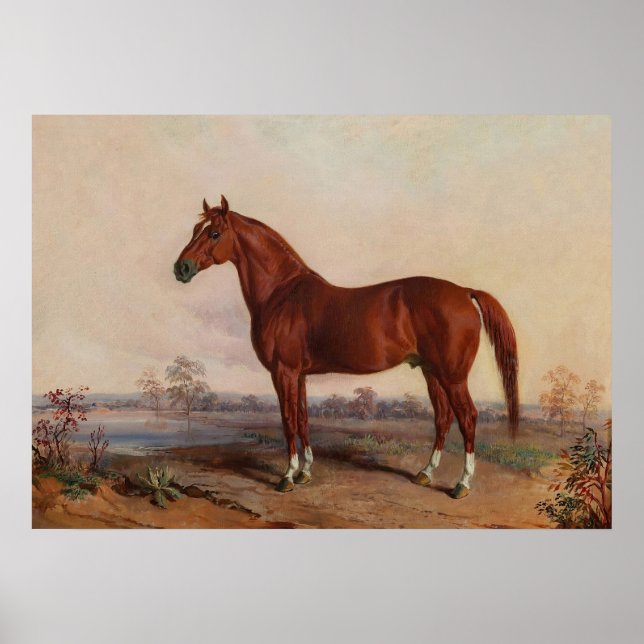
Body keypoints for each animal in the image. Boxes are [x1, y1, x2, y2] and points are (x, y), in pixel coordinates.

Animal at [174, 195, 519, 499]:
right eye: (194, 230)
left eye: (214, 233)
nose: (181, 268)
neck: (282, 294)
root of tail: (464, 291)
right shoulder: (300, 375)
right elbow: (303, 420)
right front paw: (305, 472)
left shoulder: (284, 372)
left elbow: (287, 421)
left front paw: (287, 477)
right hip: (432, 372)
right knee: (443, 418)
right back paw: (425, 473)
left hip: (453, 376)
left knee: (468, 418)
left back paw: (461, 485)